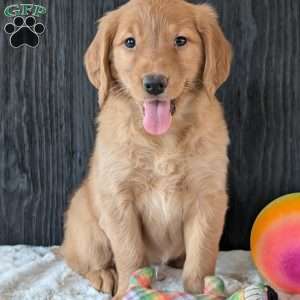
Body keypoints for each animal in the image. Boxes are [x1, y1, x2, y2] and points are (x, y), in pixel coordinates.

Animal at [61, 0, 232, 298]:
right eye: (130, 42)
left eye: (180, 40)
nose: (154, 84)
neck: (162, 139)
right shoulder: (119, 198)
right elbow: (130, 254)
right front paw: (129, 288)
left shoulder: (208, 197)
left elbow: (202, 253)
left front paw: (200, 289)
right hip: (86, 223)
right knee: (80, 259)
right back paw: (104, 274)